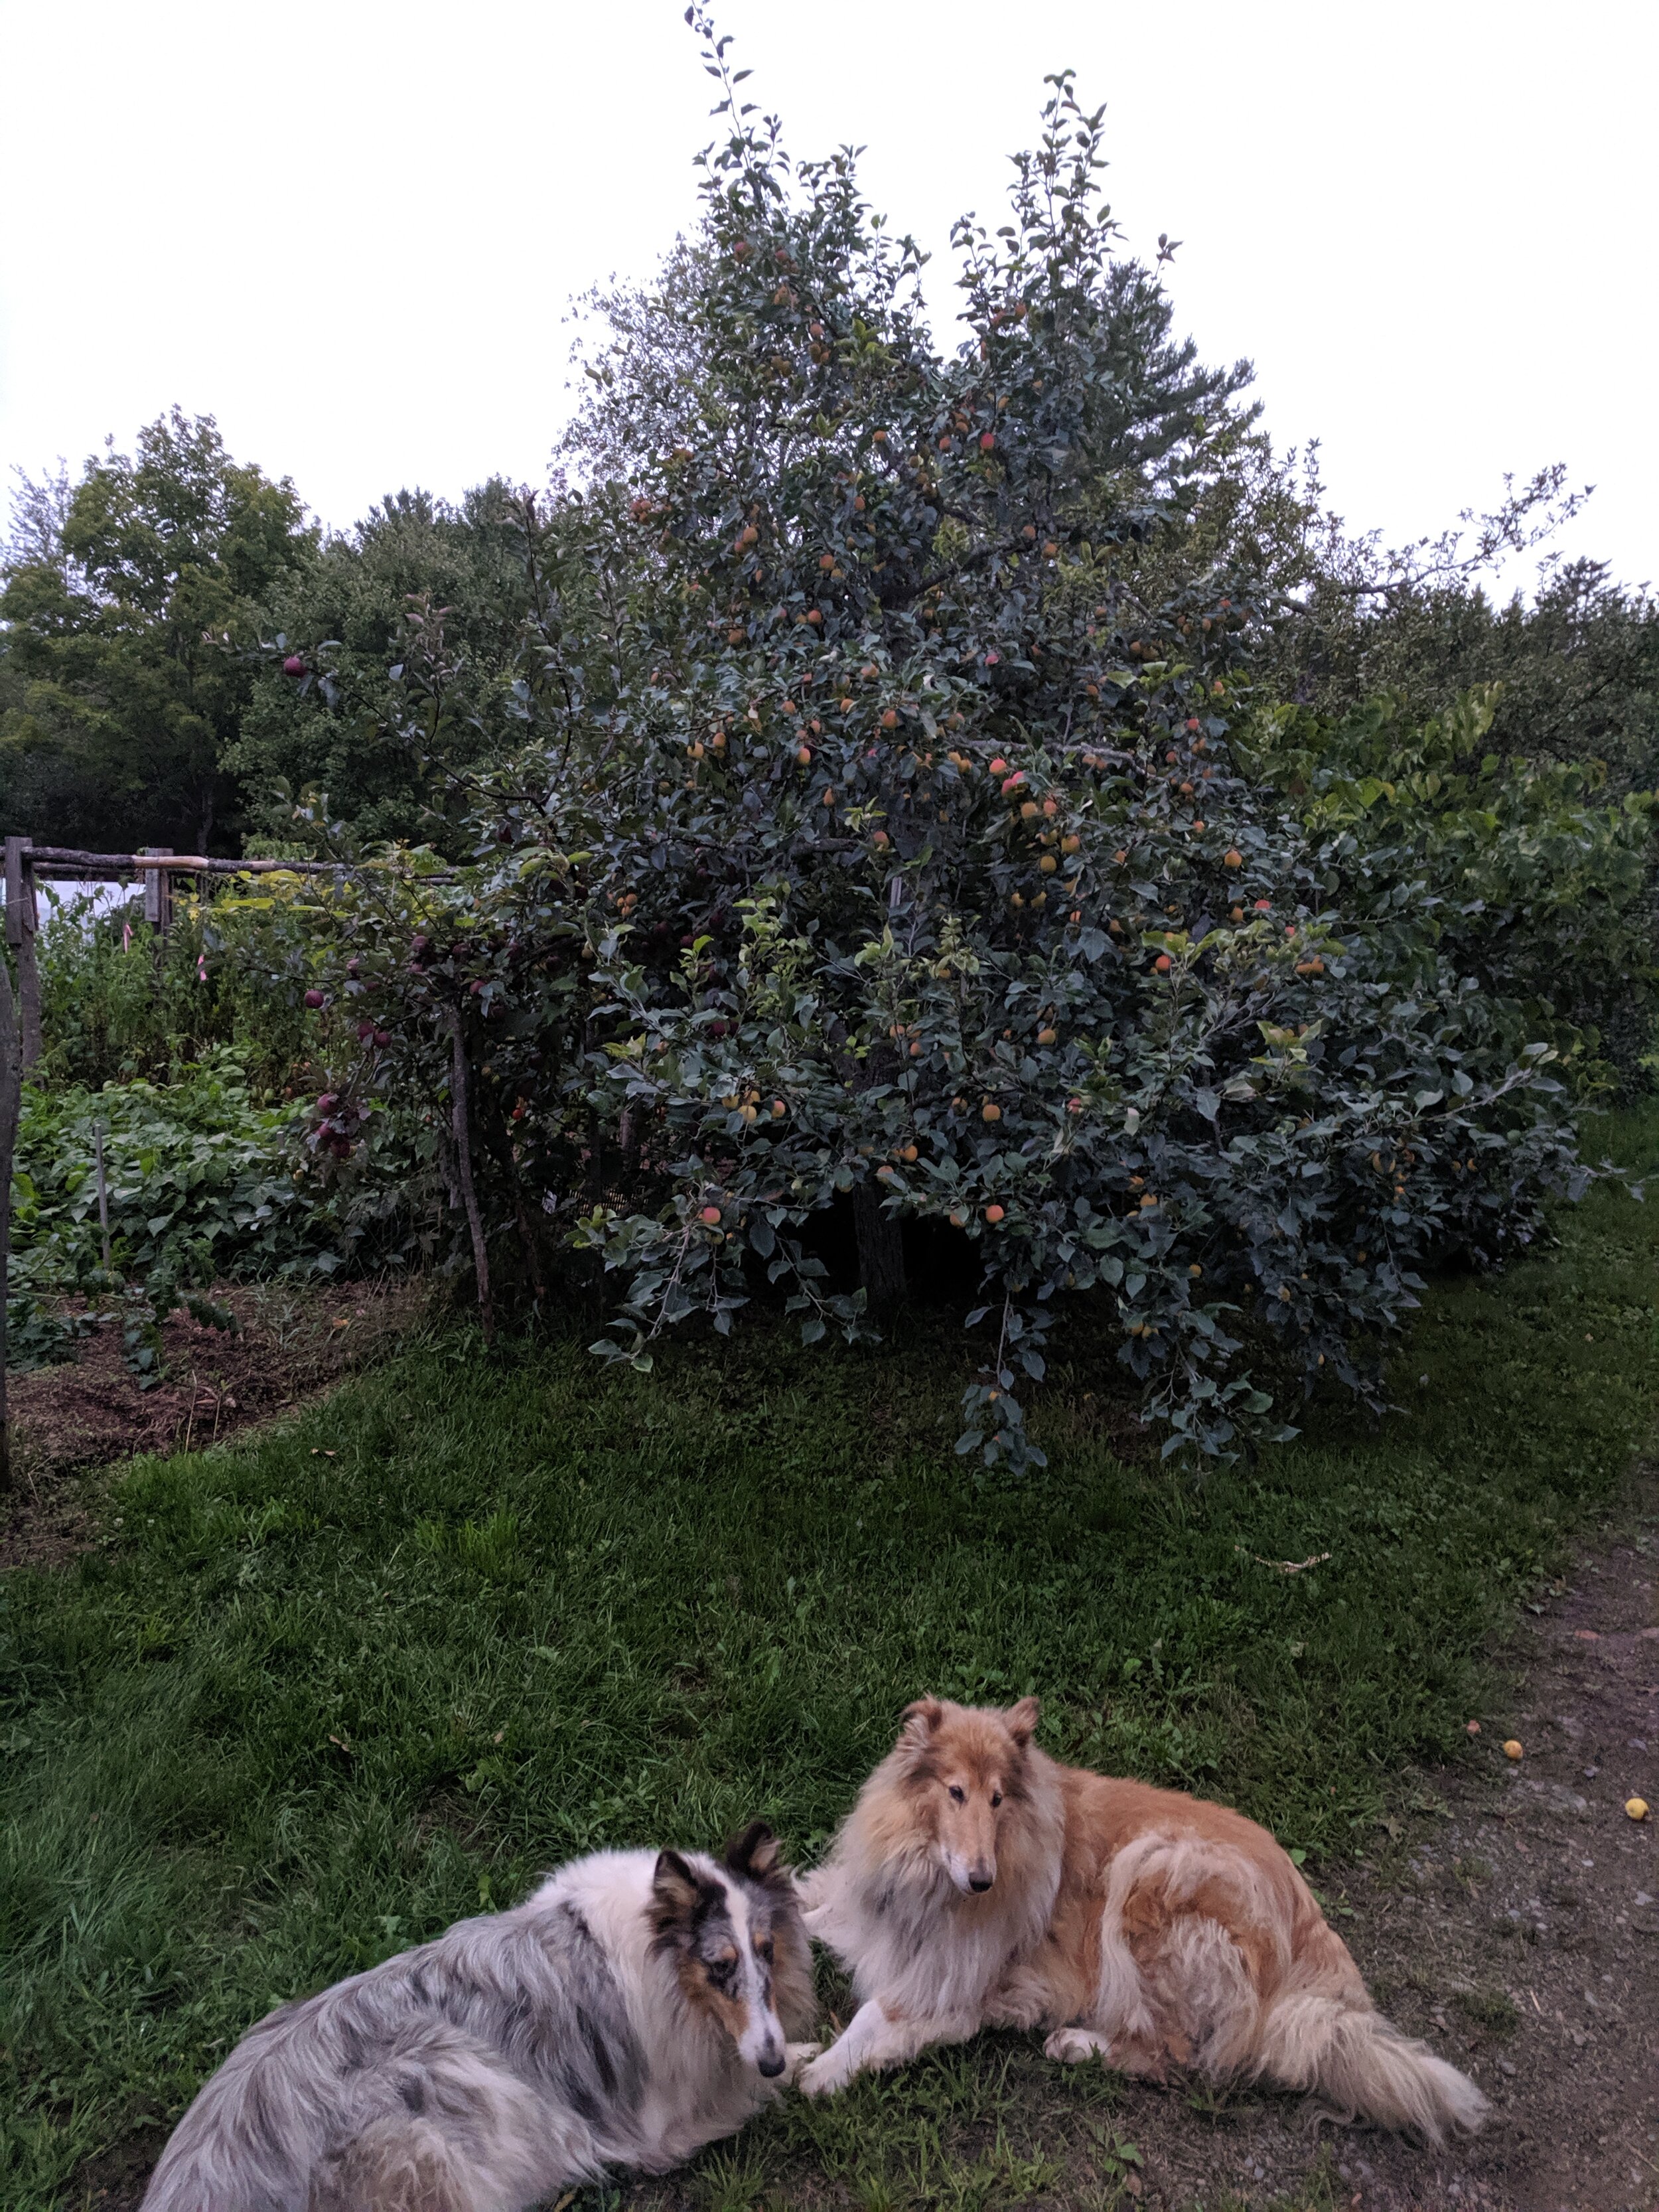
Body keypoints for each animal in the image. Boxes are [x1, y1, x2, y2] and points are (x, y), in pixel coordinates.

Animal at [143, 1822, 818, 2212]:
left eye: (766, 1950)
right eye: (719, 1966)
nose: (770, 2057)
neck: (659, 1955)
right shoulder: (666, 2119)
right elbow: (750, 2089)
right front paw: (809, 2064)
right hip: (442, 2102)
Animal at [800, 1690, 1486, 2141]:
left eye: (997, 1799)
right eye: (955, 1792)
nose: (981, 1880)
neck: (926, 1873)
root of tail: (1309, 1932)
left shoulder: (959, 1985)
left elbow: (872, 2014)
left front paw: (820, 2070)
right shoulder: (871, 1916)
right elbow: (812, 1913)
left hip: (1151, 1869)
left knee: (1179, 2056)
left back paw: (1077, 2042)